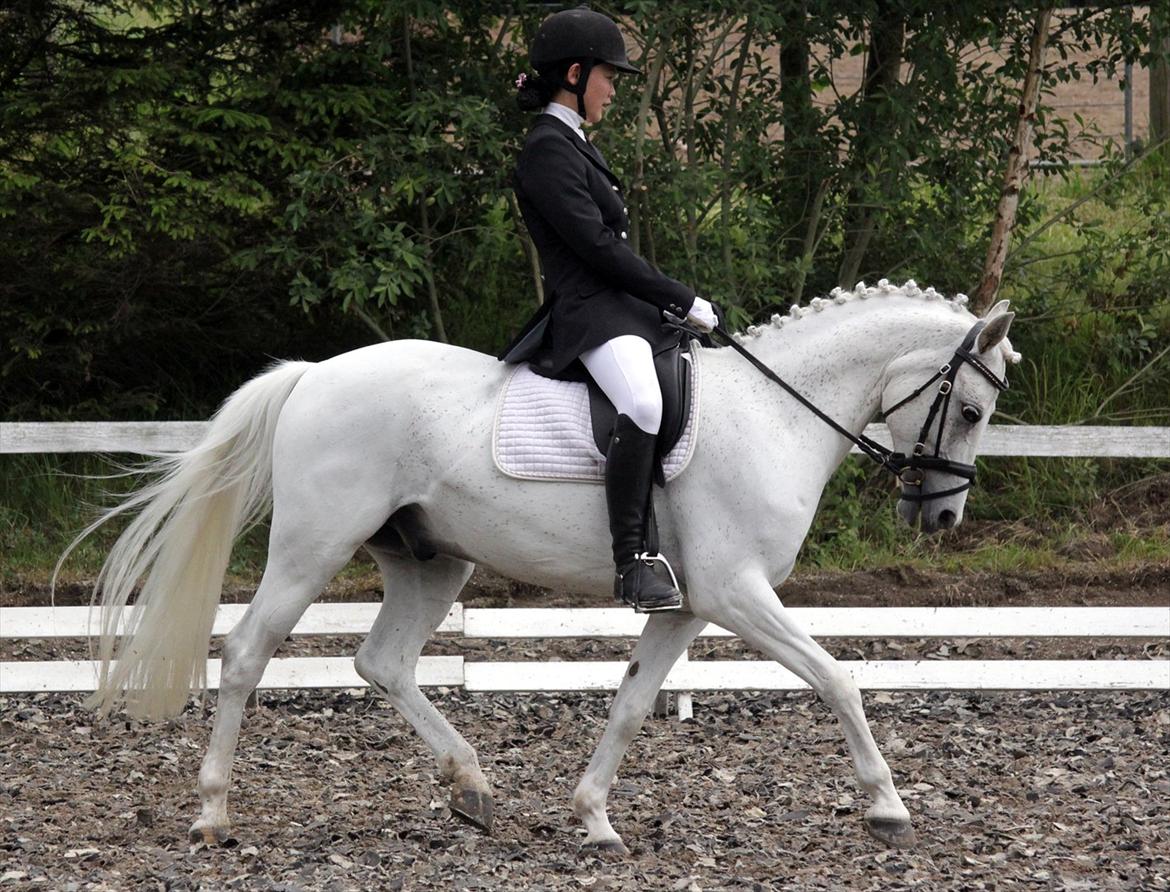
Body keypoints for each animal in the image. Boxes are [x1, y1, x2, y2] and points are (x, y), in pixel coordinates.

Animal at [75, 278, 1015, 847]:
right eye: (970, 409)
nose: (941, 516)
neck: (776, 414)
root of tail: (311, 375)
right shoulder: (736, 592)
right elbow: (837, 678)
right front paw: (887, 806)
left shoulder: (686, 604)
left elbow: (632, 702)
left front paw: (593, 818)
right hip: (315, 546)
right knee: (245, 655)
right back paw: (212, 812)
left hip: (430, 561)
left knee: (383, 661)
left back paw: (470, 785)